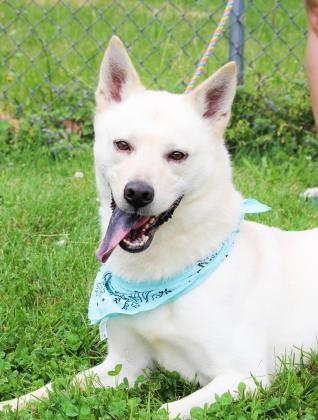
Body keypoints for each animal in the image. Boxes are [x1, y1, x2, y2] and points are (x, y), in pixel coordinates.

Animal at [1, 36, 318, 416]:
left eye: (177, 155)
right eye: (122, 145)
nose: (137, 192)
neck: (157, 276)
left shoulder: (242, 377)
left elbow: (162, 411)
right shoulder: (123, 366)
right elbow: (55, 387)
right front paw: (12, 403)